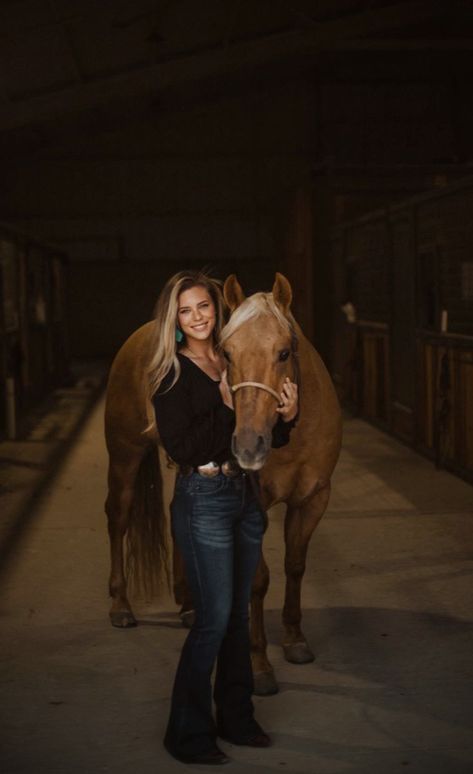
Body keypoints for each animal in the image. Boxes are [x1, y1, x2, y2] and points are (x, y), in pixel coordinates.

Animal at [104, 272, 340, 696]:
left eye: (284, 353)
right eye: (227, 353)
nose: (248, 446)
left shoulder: (314, 498)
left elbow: (295, 566)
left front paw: (295, 640)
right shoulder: (255, 507)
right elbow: (258, 581)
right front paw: (259, 666)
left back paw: (188, 606)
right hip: (125, 456)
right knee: (118, 518)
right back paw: (121, 607)